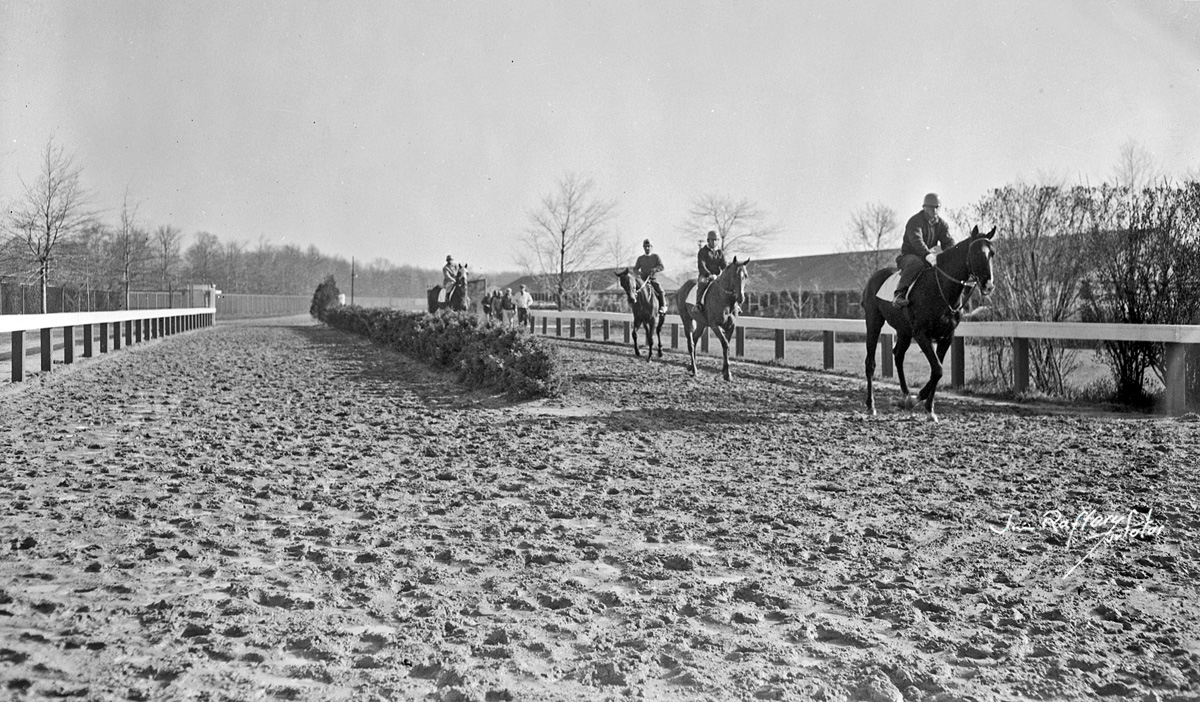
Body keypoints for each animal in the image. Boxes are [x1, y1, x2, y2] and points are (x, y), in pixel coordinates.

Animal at [864, 226, 993, 420]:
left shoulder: (946, 337)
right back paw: (871, 404)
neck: (941, 290)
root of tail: (874, 278)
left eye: (992, 253)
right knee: (870, 363)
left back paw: (905, 395)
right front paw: (917, 400)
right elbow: (938, 370)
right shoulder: (922, 335)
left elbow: (936, 372)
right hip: (873, 322)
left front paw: (929, 409)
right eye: (976, 252)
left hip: (904, 331)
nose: (988, 285)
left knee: (898, 355)